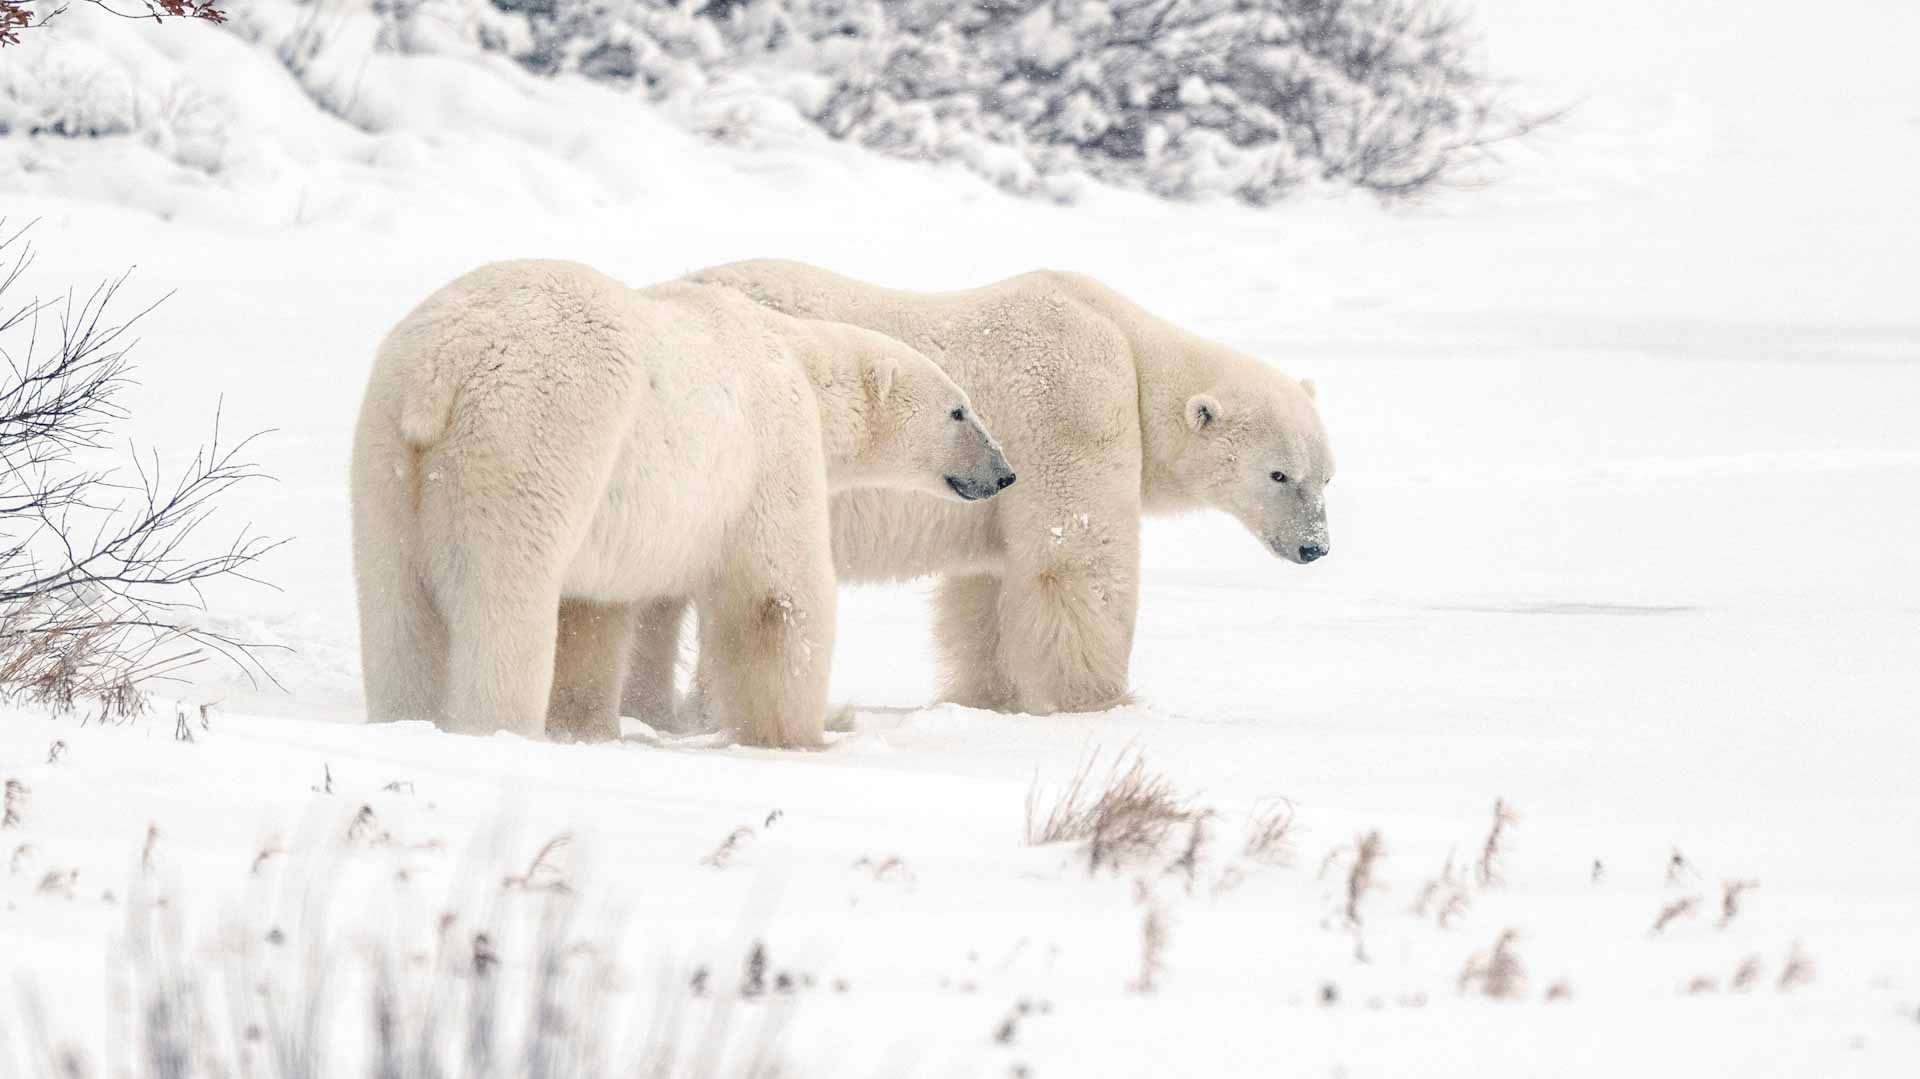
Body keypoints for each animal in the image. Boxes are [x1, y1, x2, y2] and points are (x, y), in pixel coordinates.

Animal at [350, 259, 1015, 747]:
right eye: (959, 410)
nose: (1004, 473)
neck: (796, 358)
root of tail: (444, 367)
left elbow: (593, 610)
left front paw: (588, 727)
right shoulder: (771, 445)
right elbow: (778, 597)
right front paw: (812, 732)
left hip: (388, 454)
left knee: (396, 603)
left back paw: (404, 715)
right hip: (539, 432)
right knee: (506, 594)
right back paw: (497, 726)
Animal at [621, 260, 1333, 720]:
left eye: (1327, 475)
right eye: (1279, 475)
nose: (1315, 549)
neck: (1129, 349)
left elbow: (983, 590)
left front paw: (987, 699)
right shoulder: (1073, 407)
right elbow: (1075, 560)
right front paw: (1101, 701)